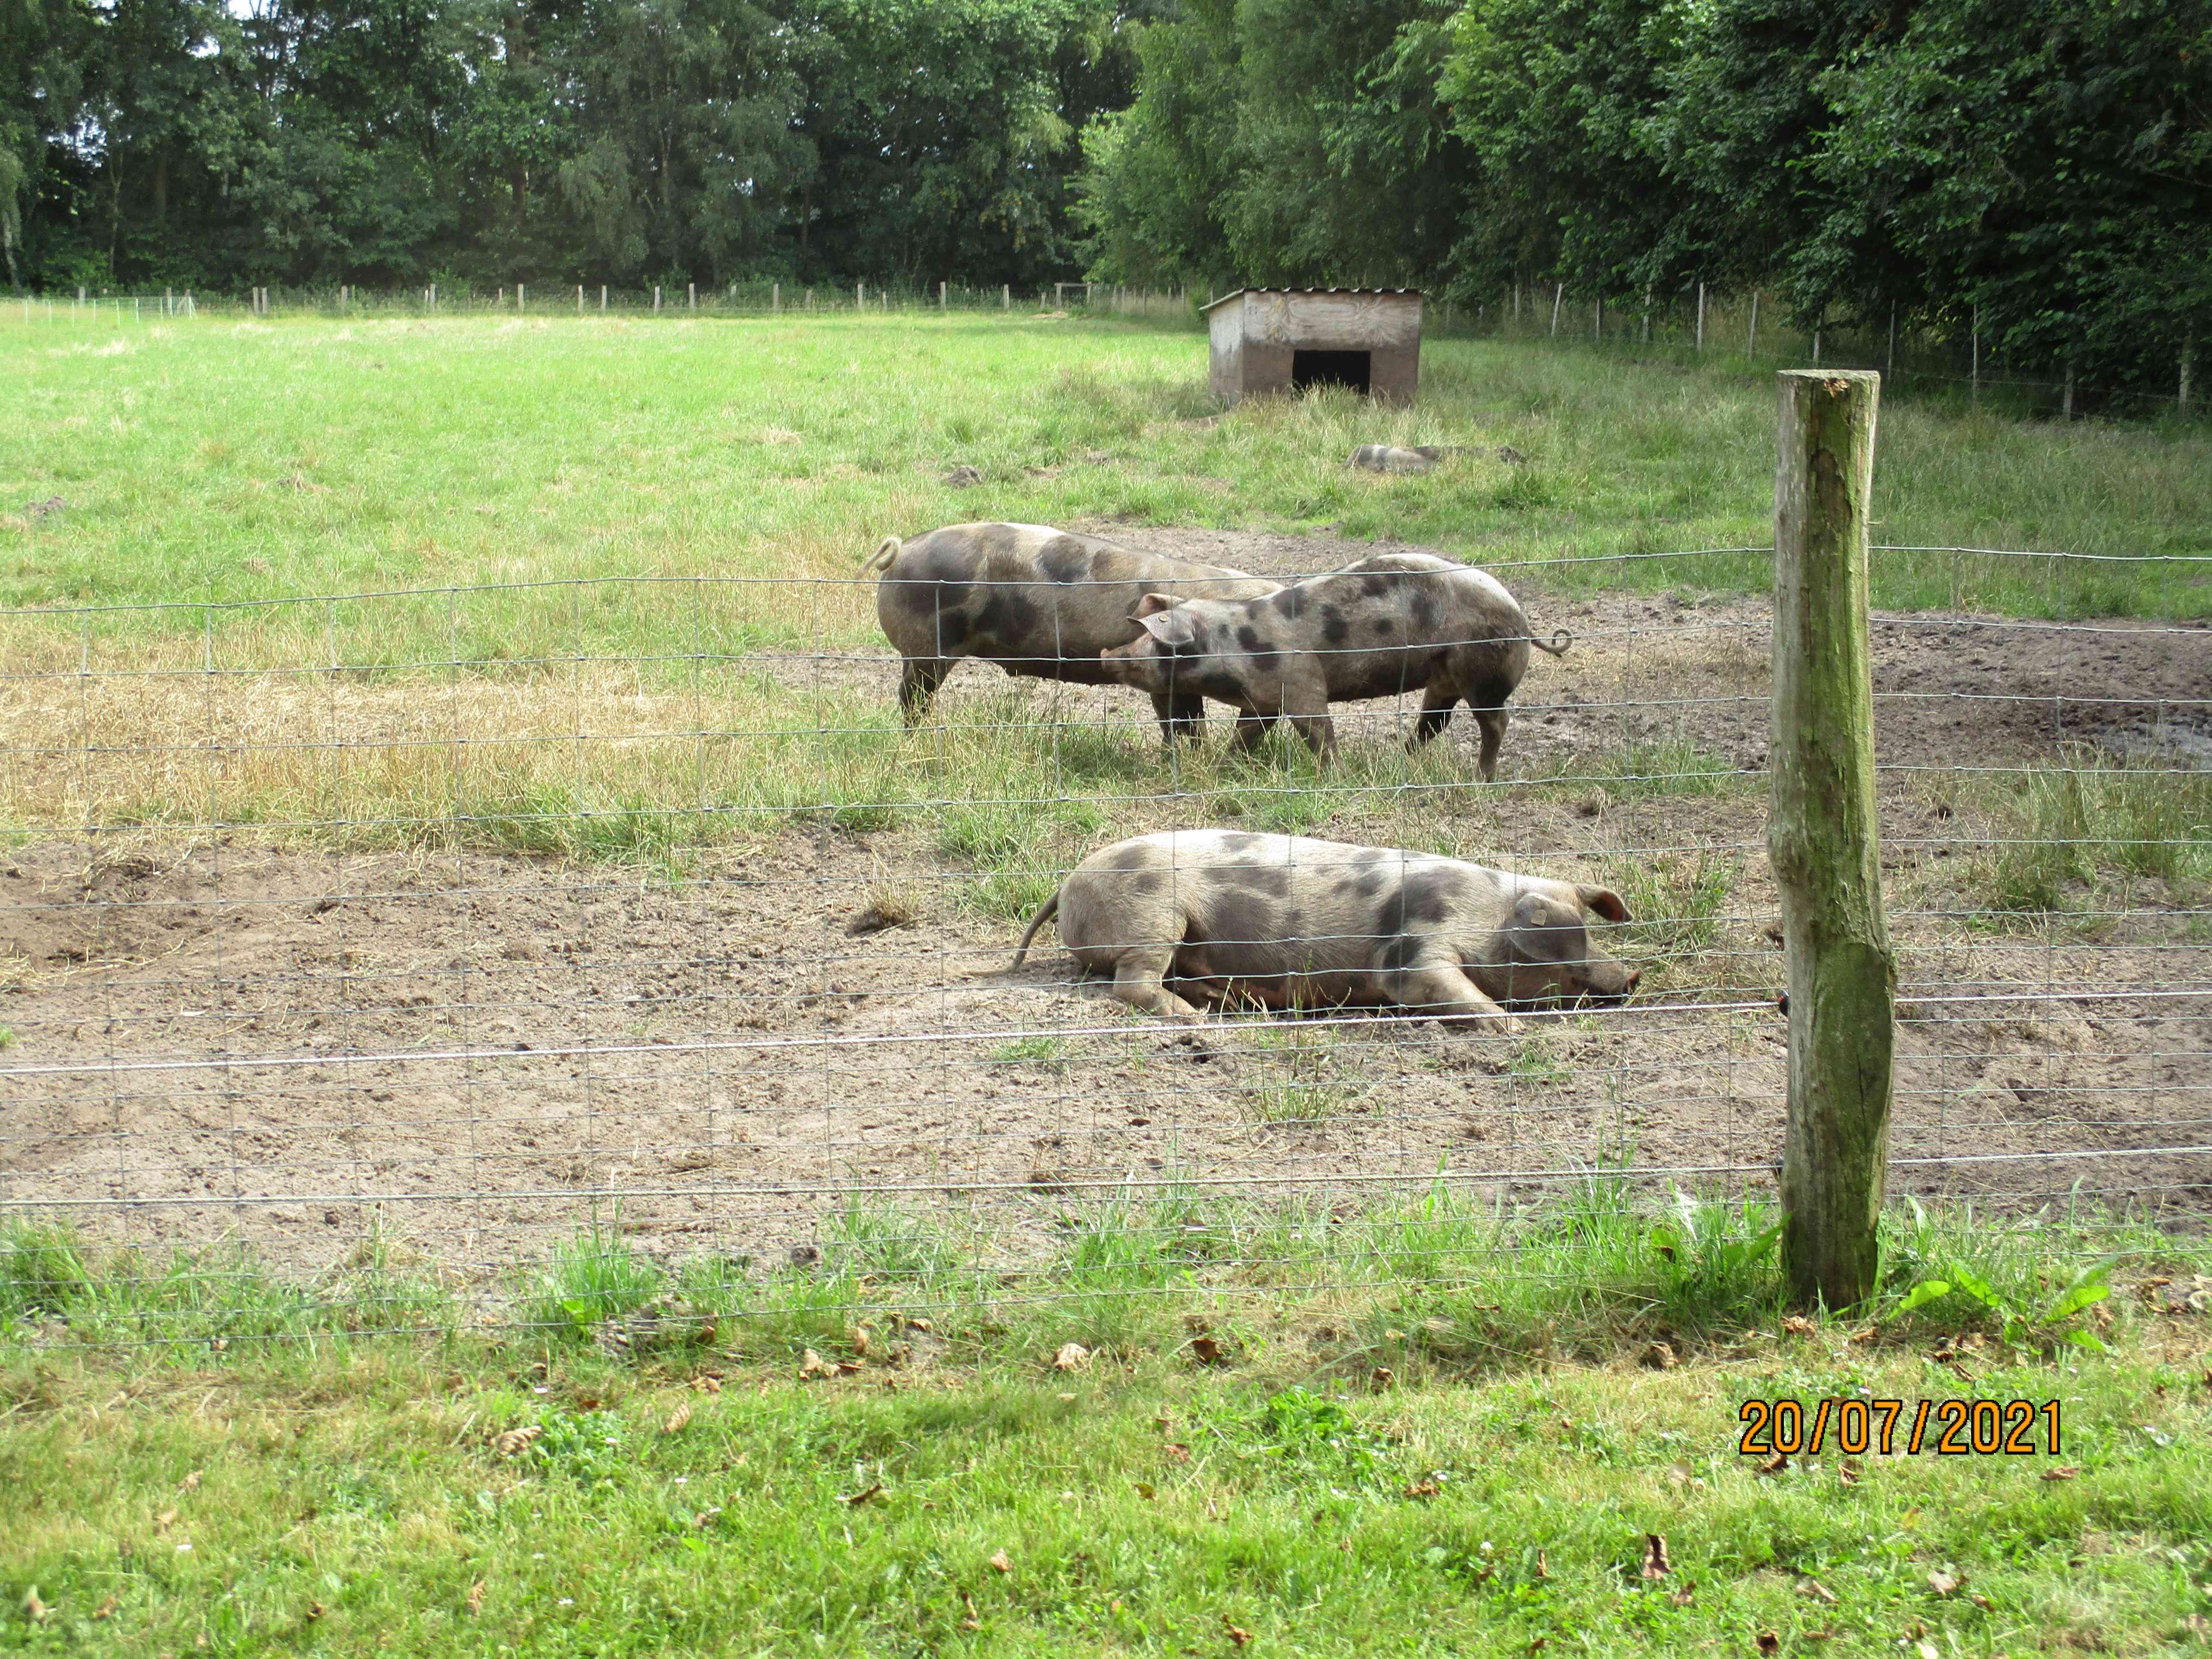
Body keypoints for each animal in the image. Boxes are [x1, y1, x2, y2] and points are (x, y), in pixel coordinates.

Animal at [1013, 827, 1637, 1035]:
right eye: (1576, 943)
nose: (1633, 975)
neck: (1486, 912)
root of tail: (1067, 884)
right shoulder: (1415, 946)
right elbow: (1431, 982)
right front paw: (1513, 1028)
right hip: (1152, 913)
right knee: (1132, 982)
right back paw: (1199, 1021)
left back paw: (1229, 1003)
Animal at [1097, 548, 1566, 778]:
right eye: (1139, 635)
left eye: (1156, 642)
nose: (1105, 655)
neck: (1237, 645)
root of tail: (1523, 620)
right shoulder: (1262, 699)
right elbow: (1247, 734)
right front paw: (1224, 767)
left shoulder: (1301, 681)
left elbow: (1317, 729)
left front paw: (1335, 776)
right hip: (1445, 675)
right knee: (1434, 722)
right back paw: (1398, 760)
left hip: (1484, 671)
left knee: (1496, 721)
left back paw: (1483, 778)